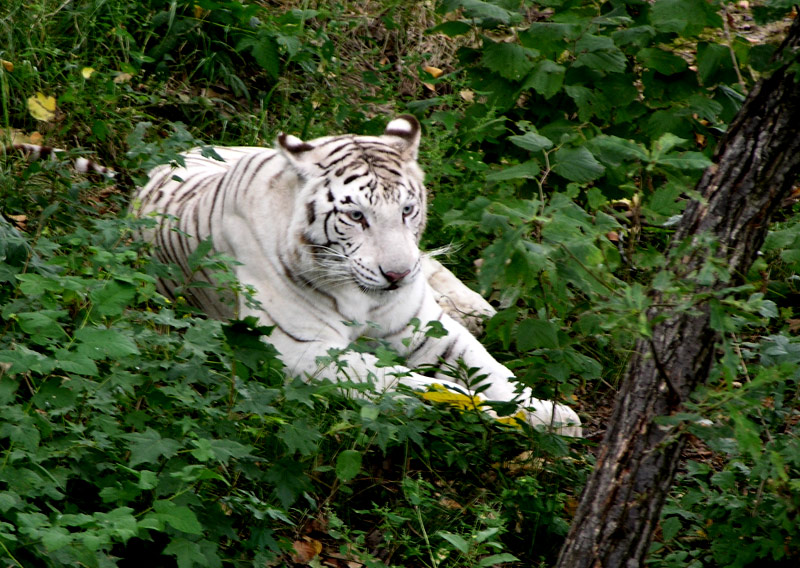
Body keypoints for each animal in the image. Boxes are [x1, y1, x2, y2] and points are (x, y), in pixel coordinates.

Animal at [131, 115, 580, 434]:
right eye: (356, 216)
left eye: (406, 209)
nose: (397, 274)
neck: (362, 298)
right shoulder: (302, 351)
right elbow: (411, 383)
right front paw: (478, 406)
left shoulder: (427, 329)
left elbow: (492, 370)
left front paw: (550, 415)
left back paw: (475, 309)